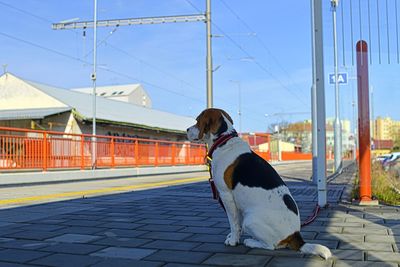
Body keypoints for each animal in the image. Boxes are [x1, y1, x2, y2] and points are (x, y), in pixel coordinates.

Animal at [187, 108, 332, 260]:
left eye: (197, 120)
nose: (186, 129)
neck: (224, 140)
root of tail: (296, 237)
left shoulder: (226, 196)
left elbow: (233, 223)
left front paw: (233, 240)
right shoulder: (236, 202)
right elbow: (237, 223)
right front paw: (233, 236)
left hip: (250, 220)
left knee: (271, 246)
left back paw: (251, 241)